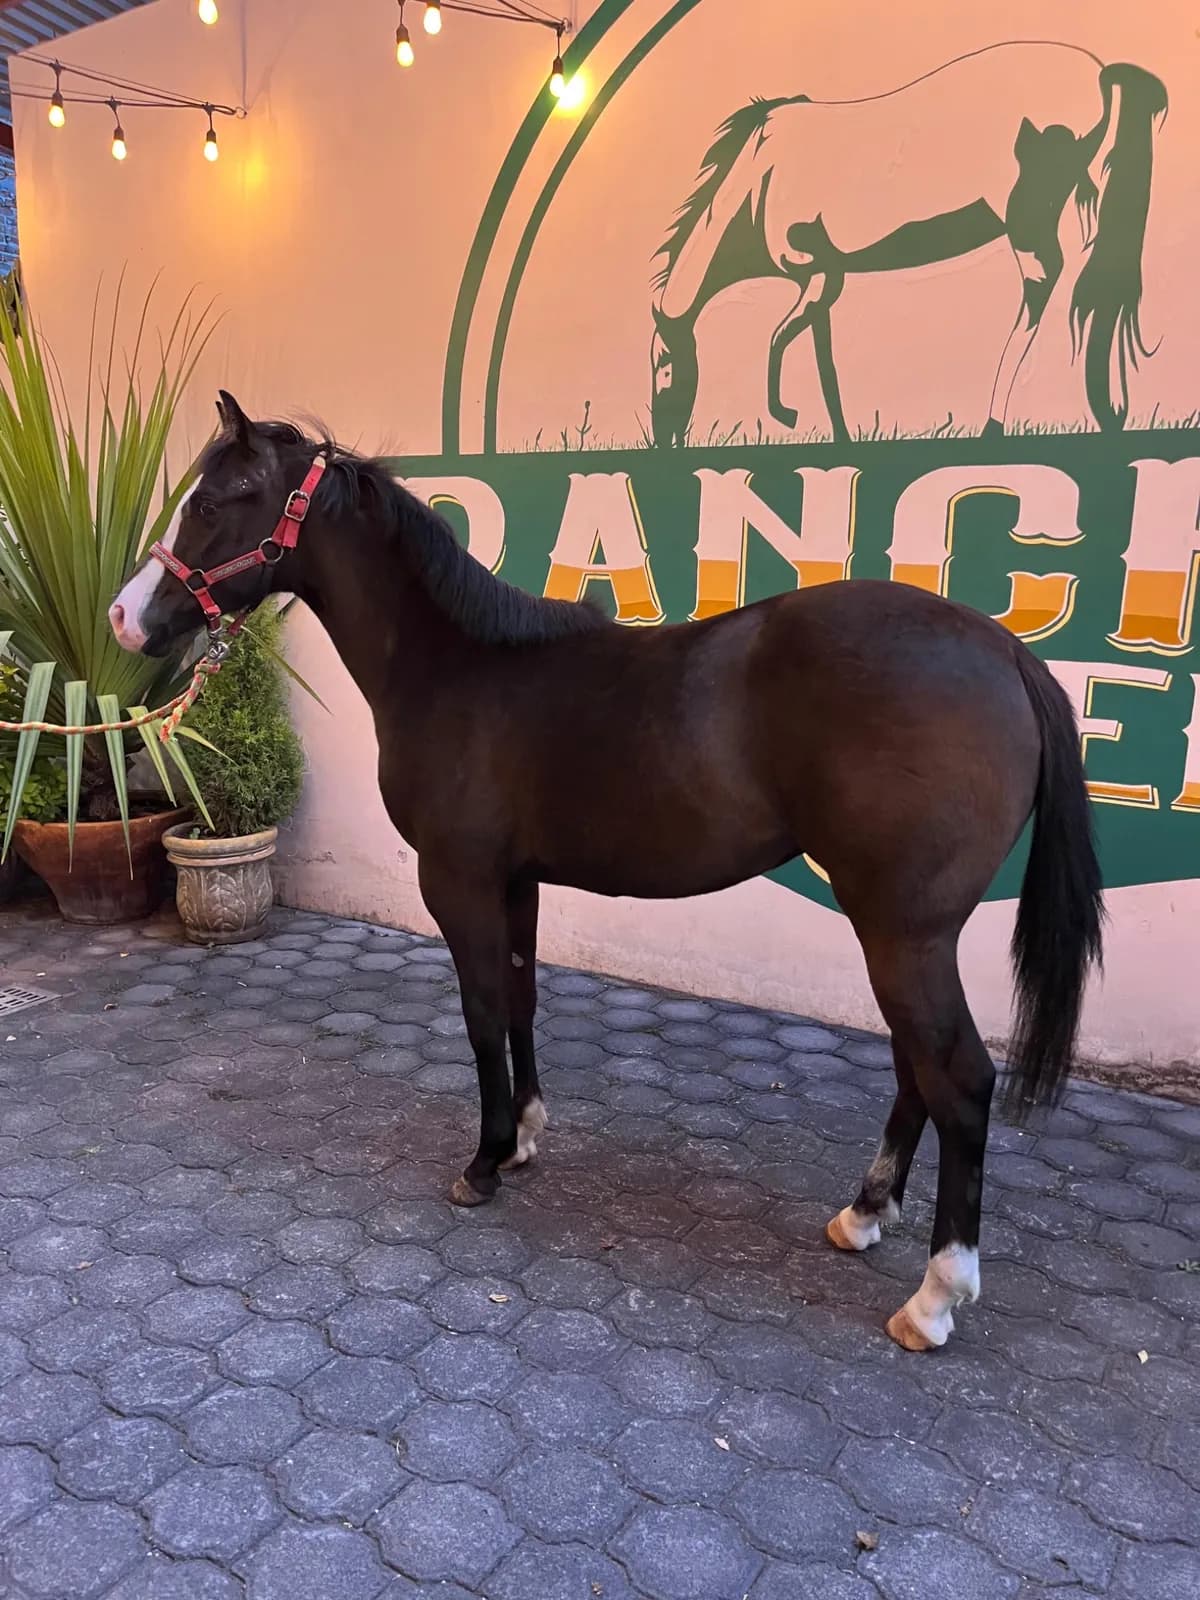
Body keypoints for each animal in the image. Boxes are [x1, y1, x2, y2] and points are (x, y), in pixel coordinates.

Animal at [110, 392, 1104, 1352]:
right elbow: (519, 1000)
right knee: (915, 1070)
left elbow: (482, 1015)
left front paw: (484, 1162)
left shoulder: (458, 881)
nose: (126, 617)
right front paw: (523, 1139)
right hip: (901, 932)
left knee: (957, 1079)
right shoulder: (514, 882)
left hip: (903, 931)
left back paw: (935, 1297)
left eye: (220, 499)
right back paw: (862, 1216)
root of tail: (1006, 653)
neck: (461, 667)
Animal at [651, 42, 1167, 445]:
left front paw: (785, 414)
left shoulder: (817, 270)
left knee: (1041, 289)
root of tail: (1100, 72)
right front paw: (840, 437)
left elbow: (779, 337)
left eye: (662, 367)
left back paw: (993, 425)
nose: (662, 438)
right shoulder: (826, 278)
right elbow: (824, 361)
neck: (758, 181)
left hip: (1027, 222)